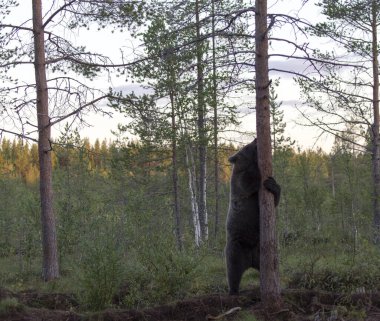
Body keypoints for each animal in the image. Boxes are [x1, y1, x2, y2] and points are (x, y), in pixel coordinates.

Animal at [224, 139, 280, 294]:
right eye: (247, 146)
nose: (255, 140)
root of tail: (250, 261)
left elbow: (274, 200)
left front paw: (272, 184)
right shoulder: (239, 183)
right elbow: (248, 181)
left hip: (261, 252)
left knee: (272, 266)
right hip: (236, 247)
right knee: (233, 270)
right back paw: (233, 291)